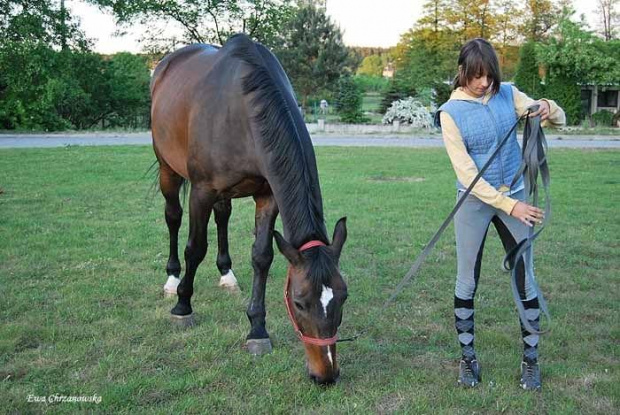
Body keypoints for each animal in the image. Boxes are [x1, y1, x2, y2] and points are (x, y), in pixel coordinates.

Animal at [148, 34, 346, 386]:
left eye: (343, 296)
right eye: (299, 302)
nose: (326, 374)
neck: (241, 108)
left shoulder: (268, 195)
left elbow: (262, 256)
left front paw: (257, 328)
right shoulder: (201, 191)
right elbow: (194, 248)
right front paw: (184, 305)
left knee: (223, 216)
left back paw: (226, 274)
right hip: (167, 169)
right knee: (173, 217)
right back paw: (171, 281)